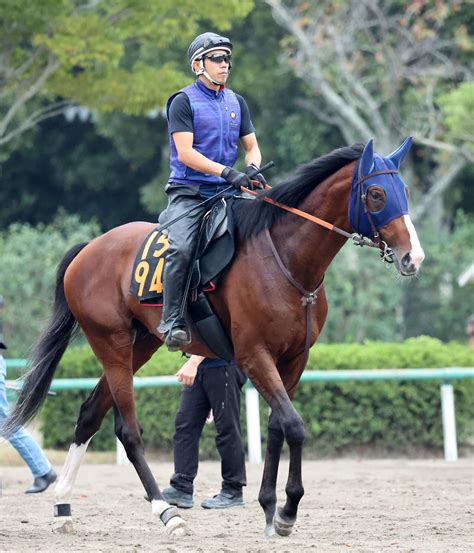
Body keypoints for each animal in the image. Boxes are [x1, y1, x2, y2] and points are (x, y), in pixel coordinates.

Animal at [4, 137, 426, 536]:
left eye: (404, 190)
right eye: (377, 194)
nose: (414, 257)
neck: (285, 260)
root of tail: (88, 249)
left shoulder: (293, 360)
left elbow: (276, 426)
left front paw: (270, 508)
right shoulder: (254, 355)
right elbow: (294, 425)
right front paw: (287, 510)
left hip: (140, 345)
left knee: (90, 414)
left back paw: (62, 505)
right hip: (111, 344)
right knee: (128, 430)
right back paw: (167, 513)